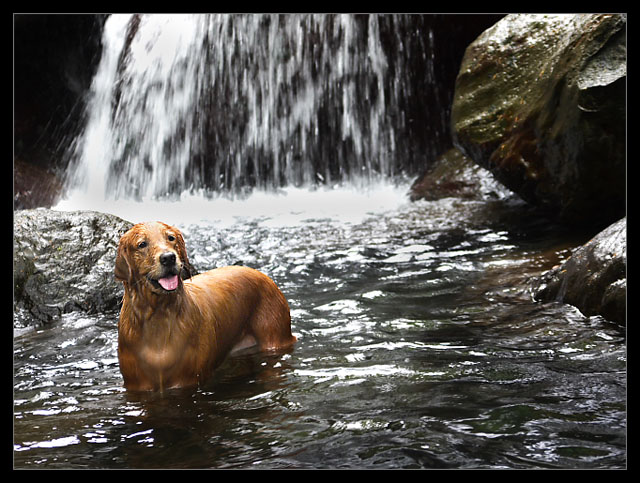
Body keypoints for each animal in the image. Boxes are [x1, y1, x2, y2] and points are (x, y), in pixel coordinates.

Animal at [115, 223, 296, 394]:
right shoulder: (137, 384)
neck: (158, 319)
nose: (169, 258)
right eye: (142, 244)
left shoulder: (186, 380)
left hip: (275, 336)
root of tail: (264, 276)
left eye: (171, 238)